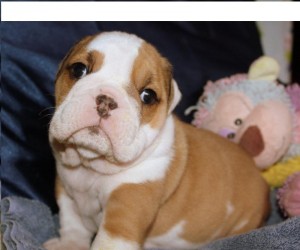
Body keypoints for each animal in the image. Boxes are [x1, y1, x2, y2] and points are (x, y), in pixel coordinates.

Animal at [44, 31, 270, 250]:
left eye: (148, 96)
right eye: (79, 69)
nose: (106, 100)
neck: (91, 165)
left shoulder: (128, 204)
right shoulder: (66, 192)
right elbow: (73, 225)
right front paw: (69, 245)